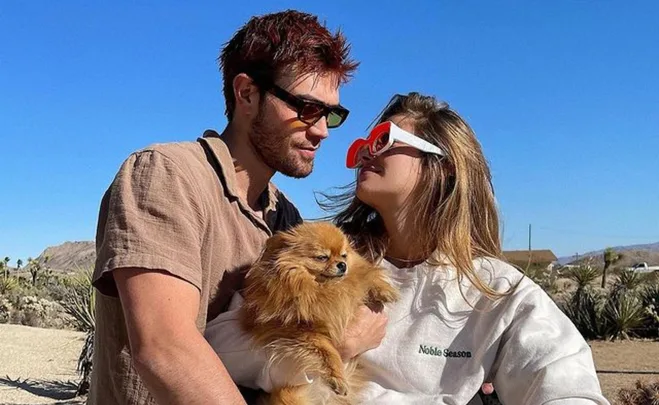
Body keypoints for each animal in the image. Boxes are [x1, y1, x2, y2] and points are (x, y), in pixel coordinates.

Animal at [240, 221, 400, 404]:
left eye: (344, 256)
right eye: (322, 257)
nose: (342, 265)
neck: (323, 289)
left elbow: (366, 276)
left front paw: (385, 290)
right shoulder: (300, 331)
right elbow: (328, 351)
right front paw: (338, 377)